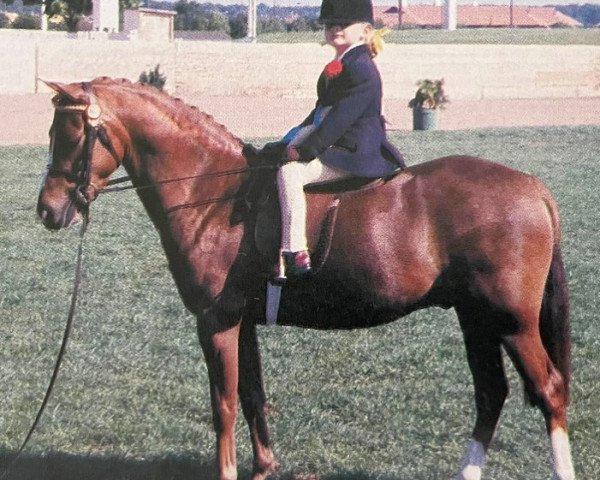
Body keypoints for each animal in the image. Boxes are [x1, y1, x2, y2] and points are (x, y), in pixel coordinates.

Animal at [35, 78, 576, 480]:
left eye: (73, 136)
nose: (47, 210)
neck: (209, 190)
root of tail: (533, 186)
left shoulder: (216, 322)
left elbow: (223, 405)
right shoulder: (242, 323)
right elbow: (252, 397)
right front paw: (263, 467)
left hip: (511, 322)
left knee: (548, 390)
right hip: (476, 318)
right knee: (490, 395)